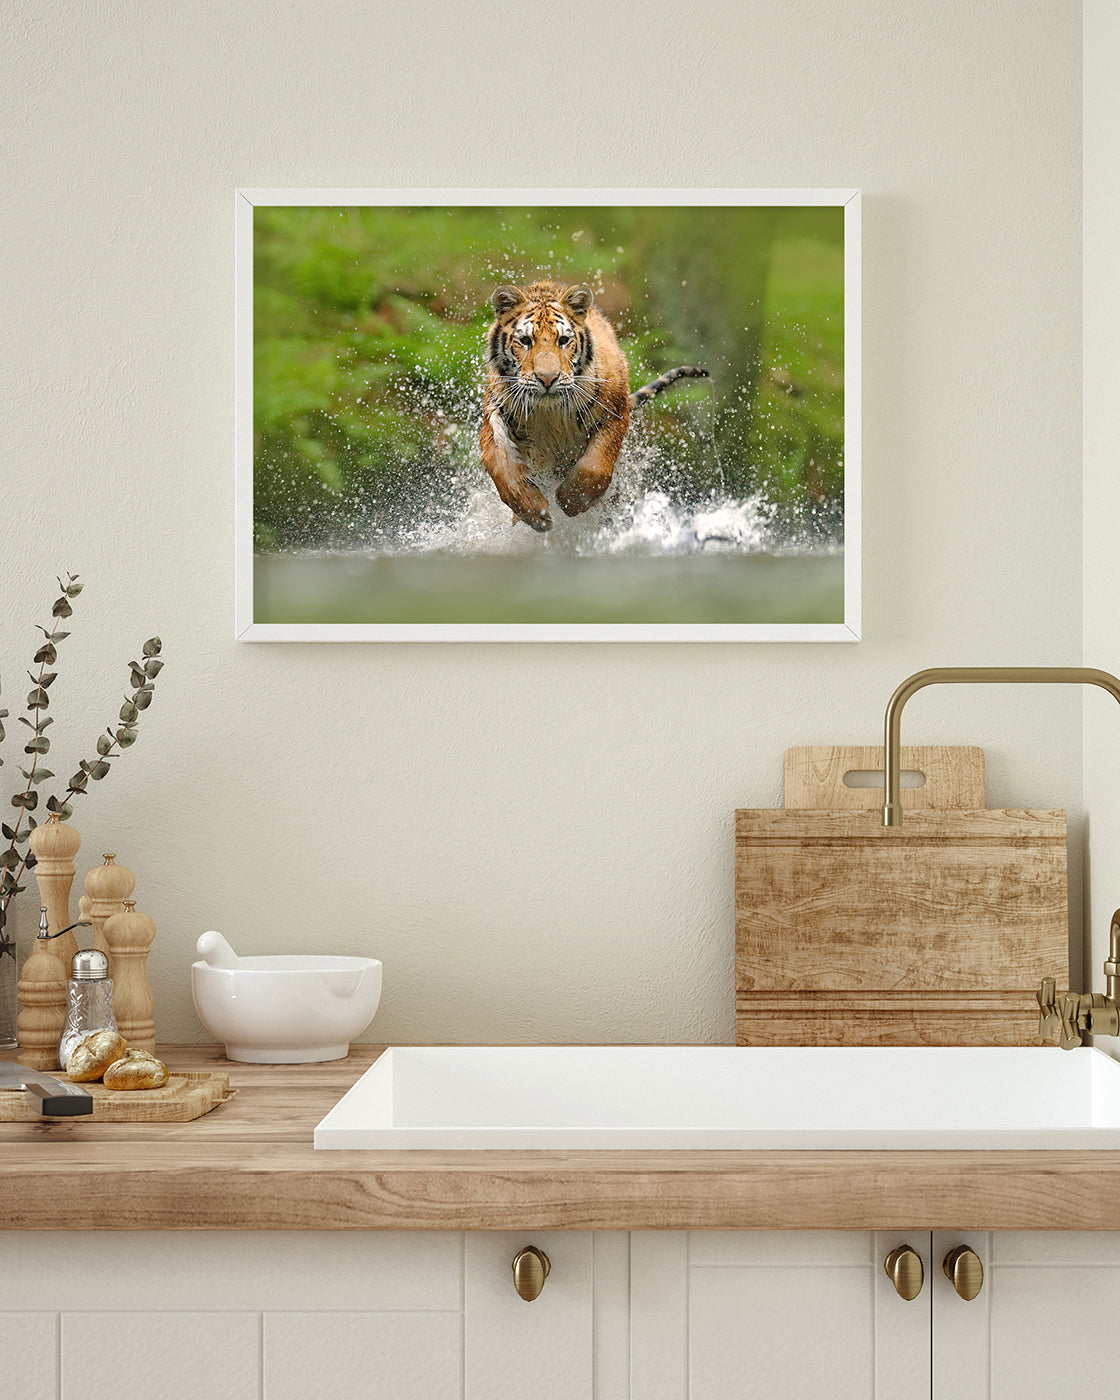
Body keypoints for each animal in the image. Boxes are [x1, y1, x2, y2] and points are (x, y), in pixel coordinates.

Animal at [479, 280, 708, 532]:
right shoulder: (493, 416)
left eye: (563, 340)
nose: (547, 379)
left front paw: (570, 501)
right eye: (526, 341)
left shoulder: (615, 414)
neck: (548, 413)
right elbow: (500, 467)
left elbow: (596, 465)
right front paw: (535, 513)